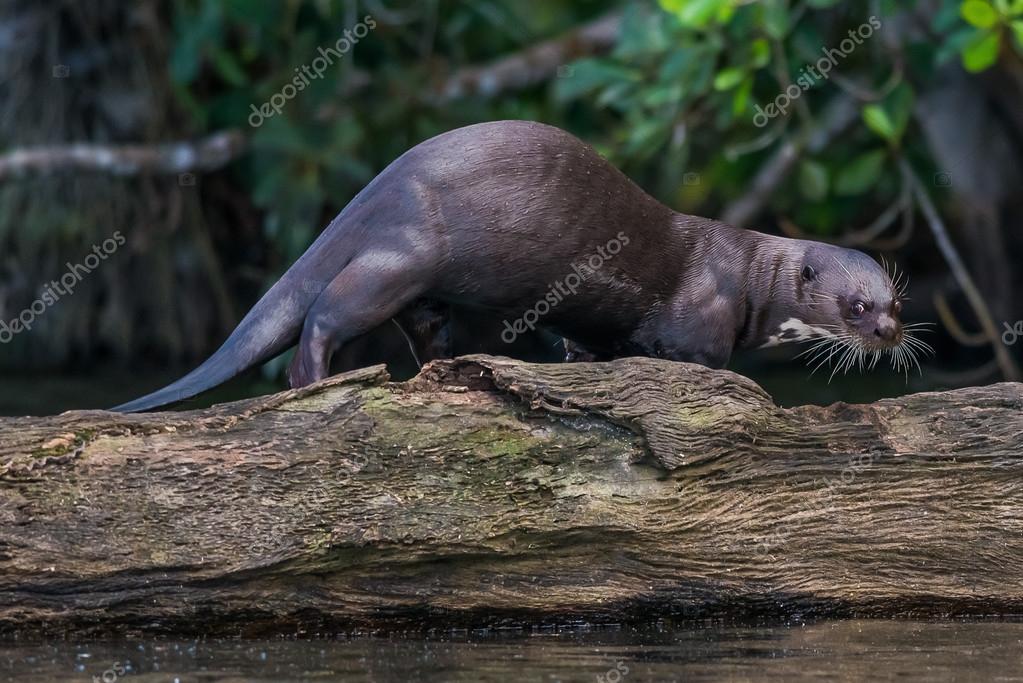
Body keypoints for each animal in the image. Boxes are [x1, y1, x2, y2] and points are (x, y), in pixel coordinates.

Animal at [113, 120, 926, 413]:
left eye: (895, 299)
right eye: (855, 306)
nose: (888, 333)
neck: (747, 273)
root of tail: (373, 192)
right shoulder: (704, 316)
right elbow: (698, 362)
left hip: (424, 289)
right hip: (401, 256)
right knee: (324, 315)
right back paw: (315, 383)